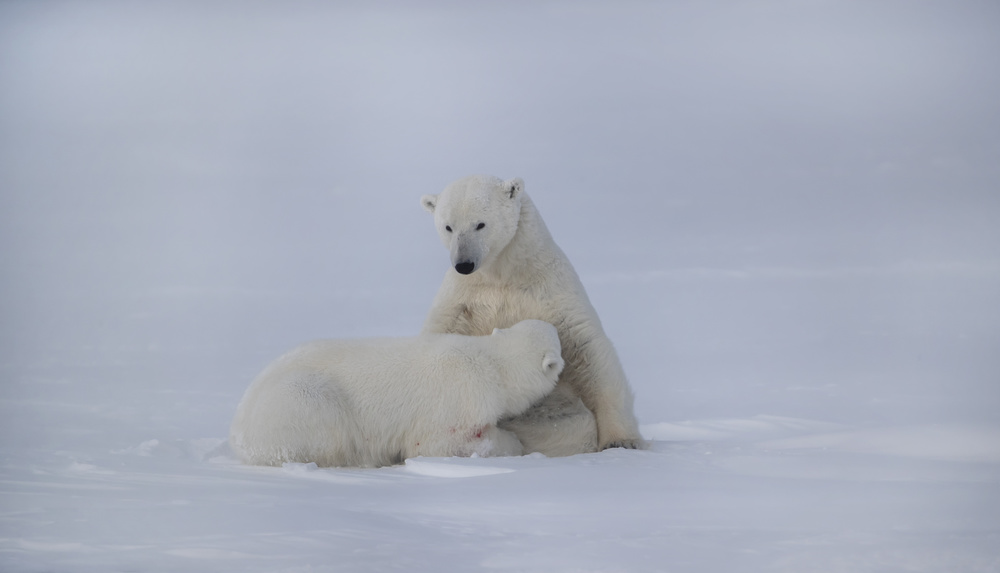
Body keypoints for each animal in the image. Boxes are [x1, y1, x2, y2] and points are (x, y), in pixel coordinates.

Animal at [229, 320, 568, 466]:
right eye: (558, 337)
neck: (493, 364)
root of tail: (239, 431)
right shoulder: (459, 397)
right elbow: (437, 445)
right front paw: (511, 443)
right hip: (297, 403)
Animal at [420, 174, 640, 456]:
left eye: (480, 224)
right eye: (448, 227)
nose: (464, 264)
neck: (503, 274)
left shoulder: (550, 290)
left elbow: (586, 348)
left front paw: (621, 441)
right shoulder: (462, 299)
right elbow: (440, 335)